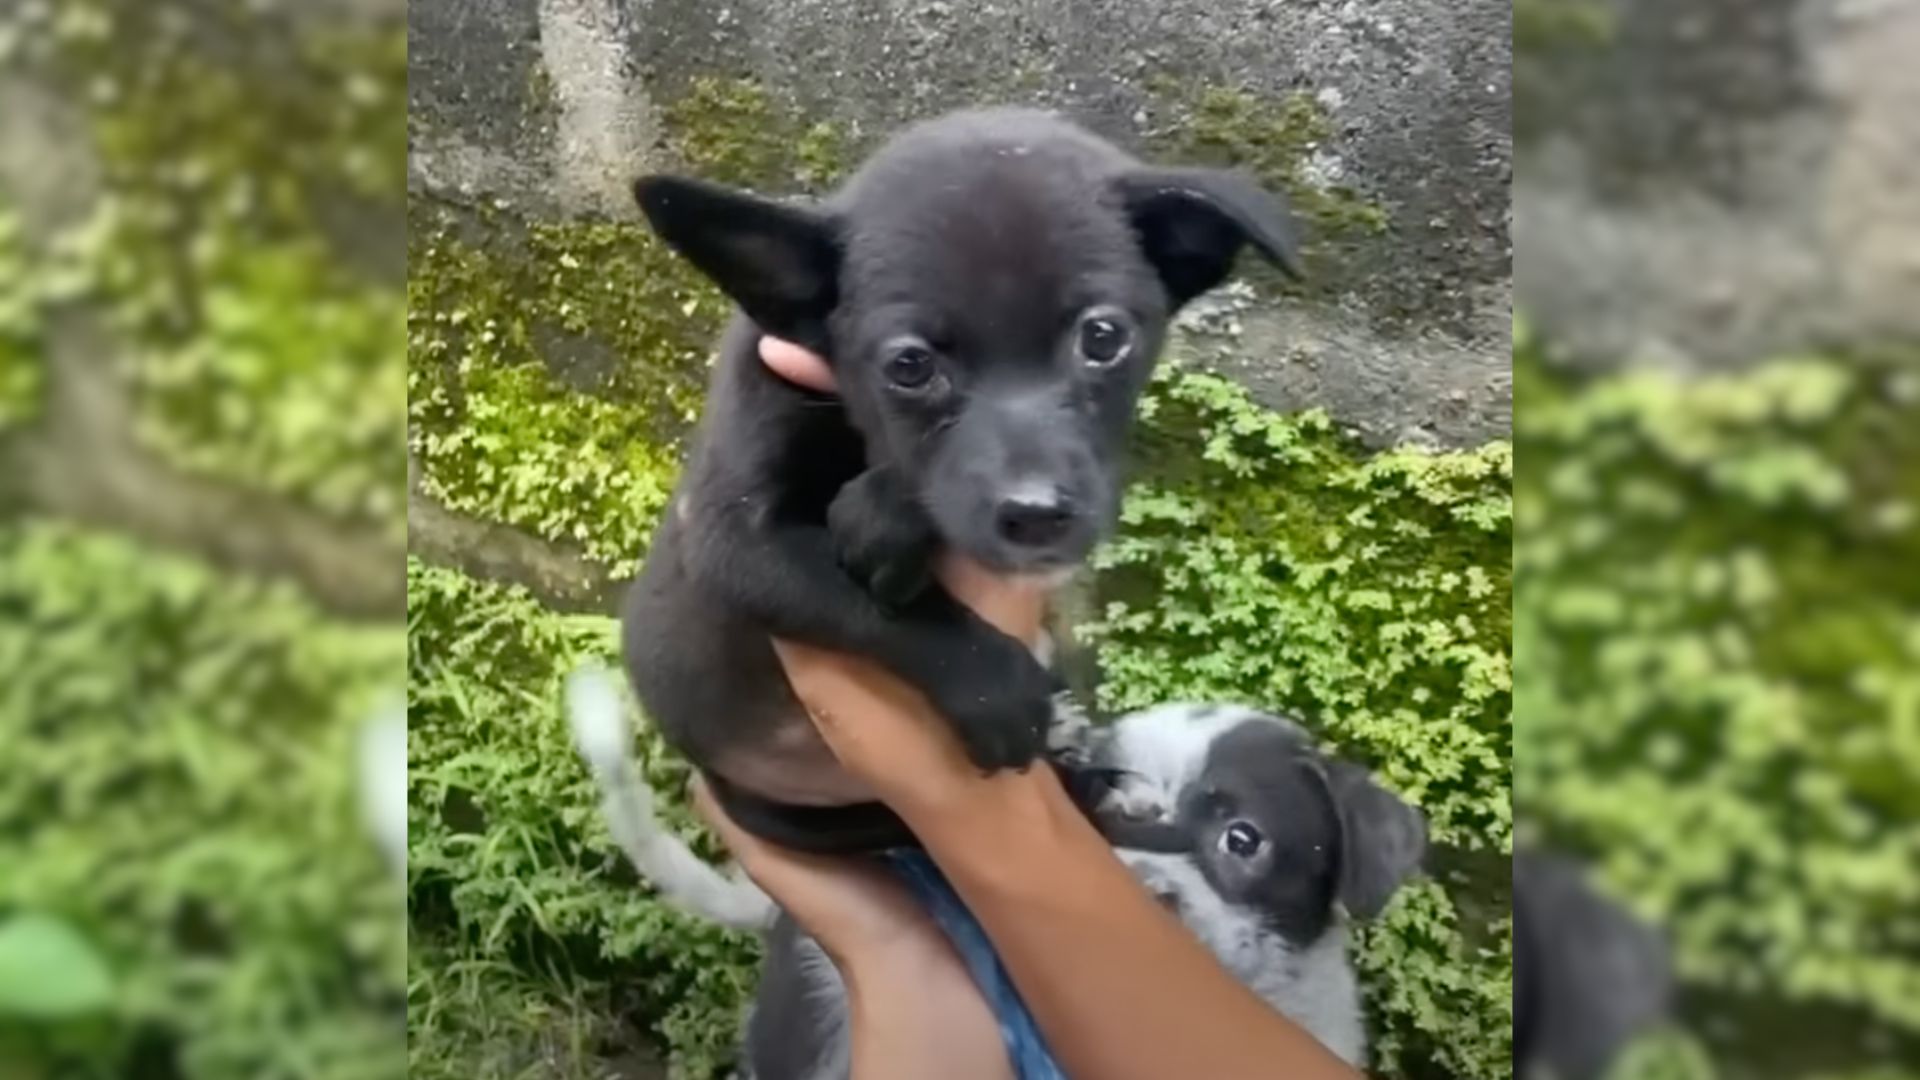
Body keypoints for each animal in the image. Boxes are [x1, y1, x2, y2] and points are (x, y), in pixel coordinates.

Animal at [622, 109, 1297, 849]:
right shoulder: (732, 540)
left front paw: (881, 510)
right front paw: (994, 686)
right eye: (910, 365)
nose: (1037, 517)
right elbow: (869, 607)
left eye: (1102, 337)